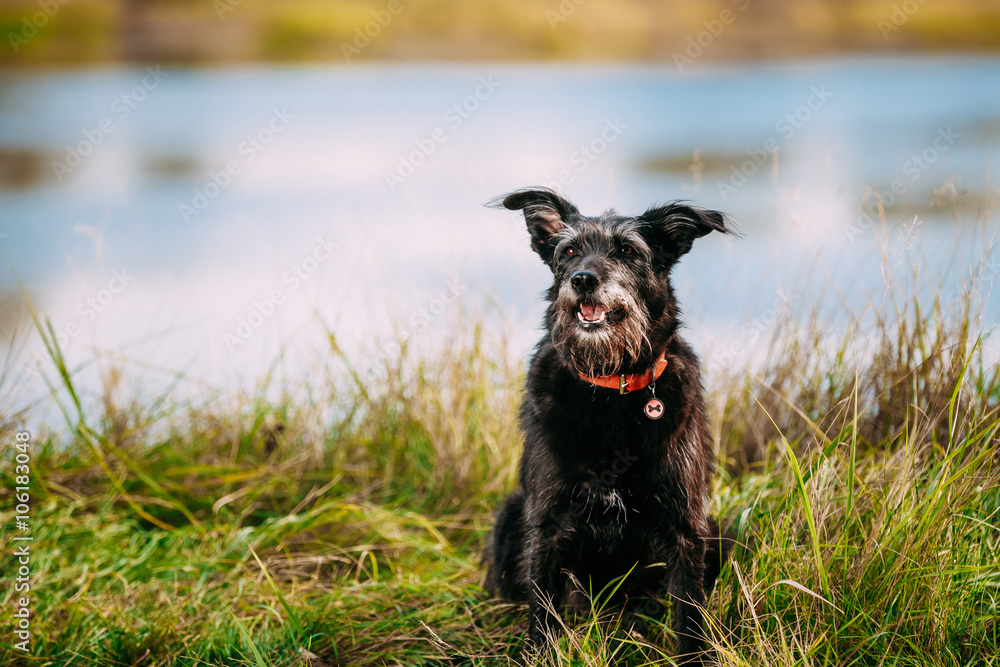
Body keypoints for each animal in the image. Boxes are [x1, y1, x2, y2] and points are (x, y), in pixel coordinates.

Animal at [484, 187, 736, 664]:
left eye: (628, 251)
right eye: (568, 251)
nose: (583, 279)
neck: (611, 387)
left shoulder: (687, 526)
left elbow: (690, 614)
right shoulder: (547, 522)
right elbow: (541, 608)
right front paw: (539, 652)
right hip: (511, 514)